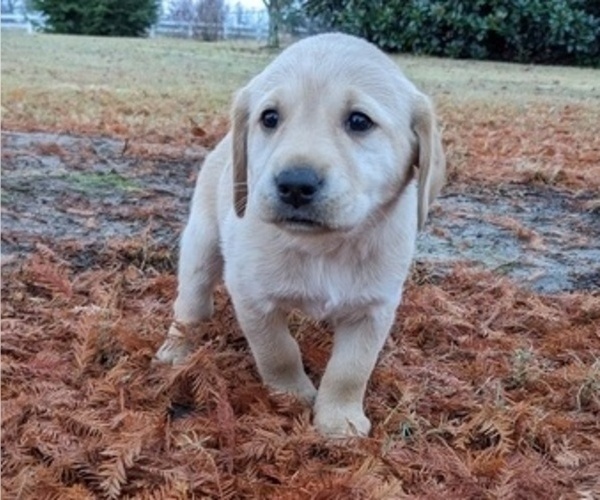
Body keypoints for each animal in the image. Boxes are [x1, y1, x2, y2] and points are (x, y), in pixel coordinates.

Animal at [156, 33, 446, 436]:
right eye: (270, 118)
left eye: (359, 121)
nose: (294, 183)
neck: (324, 247)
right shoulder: (251, 296)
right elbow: (278, 351)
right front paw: (291, 396)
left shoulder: (375, 307)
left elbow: (350, 369)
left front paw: (339, 421)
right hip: (201, 244)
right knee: (191, 305)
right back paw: (176, 350)